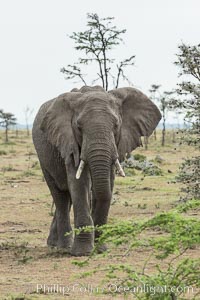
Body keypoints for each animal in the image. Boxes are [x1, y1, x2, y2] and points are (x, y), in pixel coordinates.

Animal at [32, 85, 161, 256]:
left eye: (116, 125)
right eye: (79, 127)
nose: (97, 245)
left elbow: (107, 183)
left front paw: (100, 249)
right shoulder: (70, 142)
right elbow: (80, 184)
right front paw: (82, 253)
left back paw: (55, 244)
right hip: (44, 158)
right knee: (60, 196)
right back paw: (62, 247)